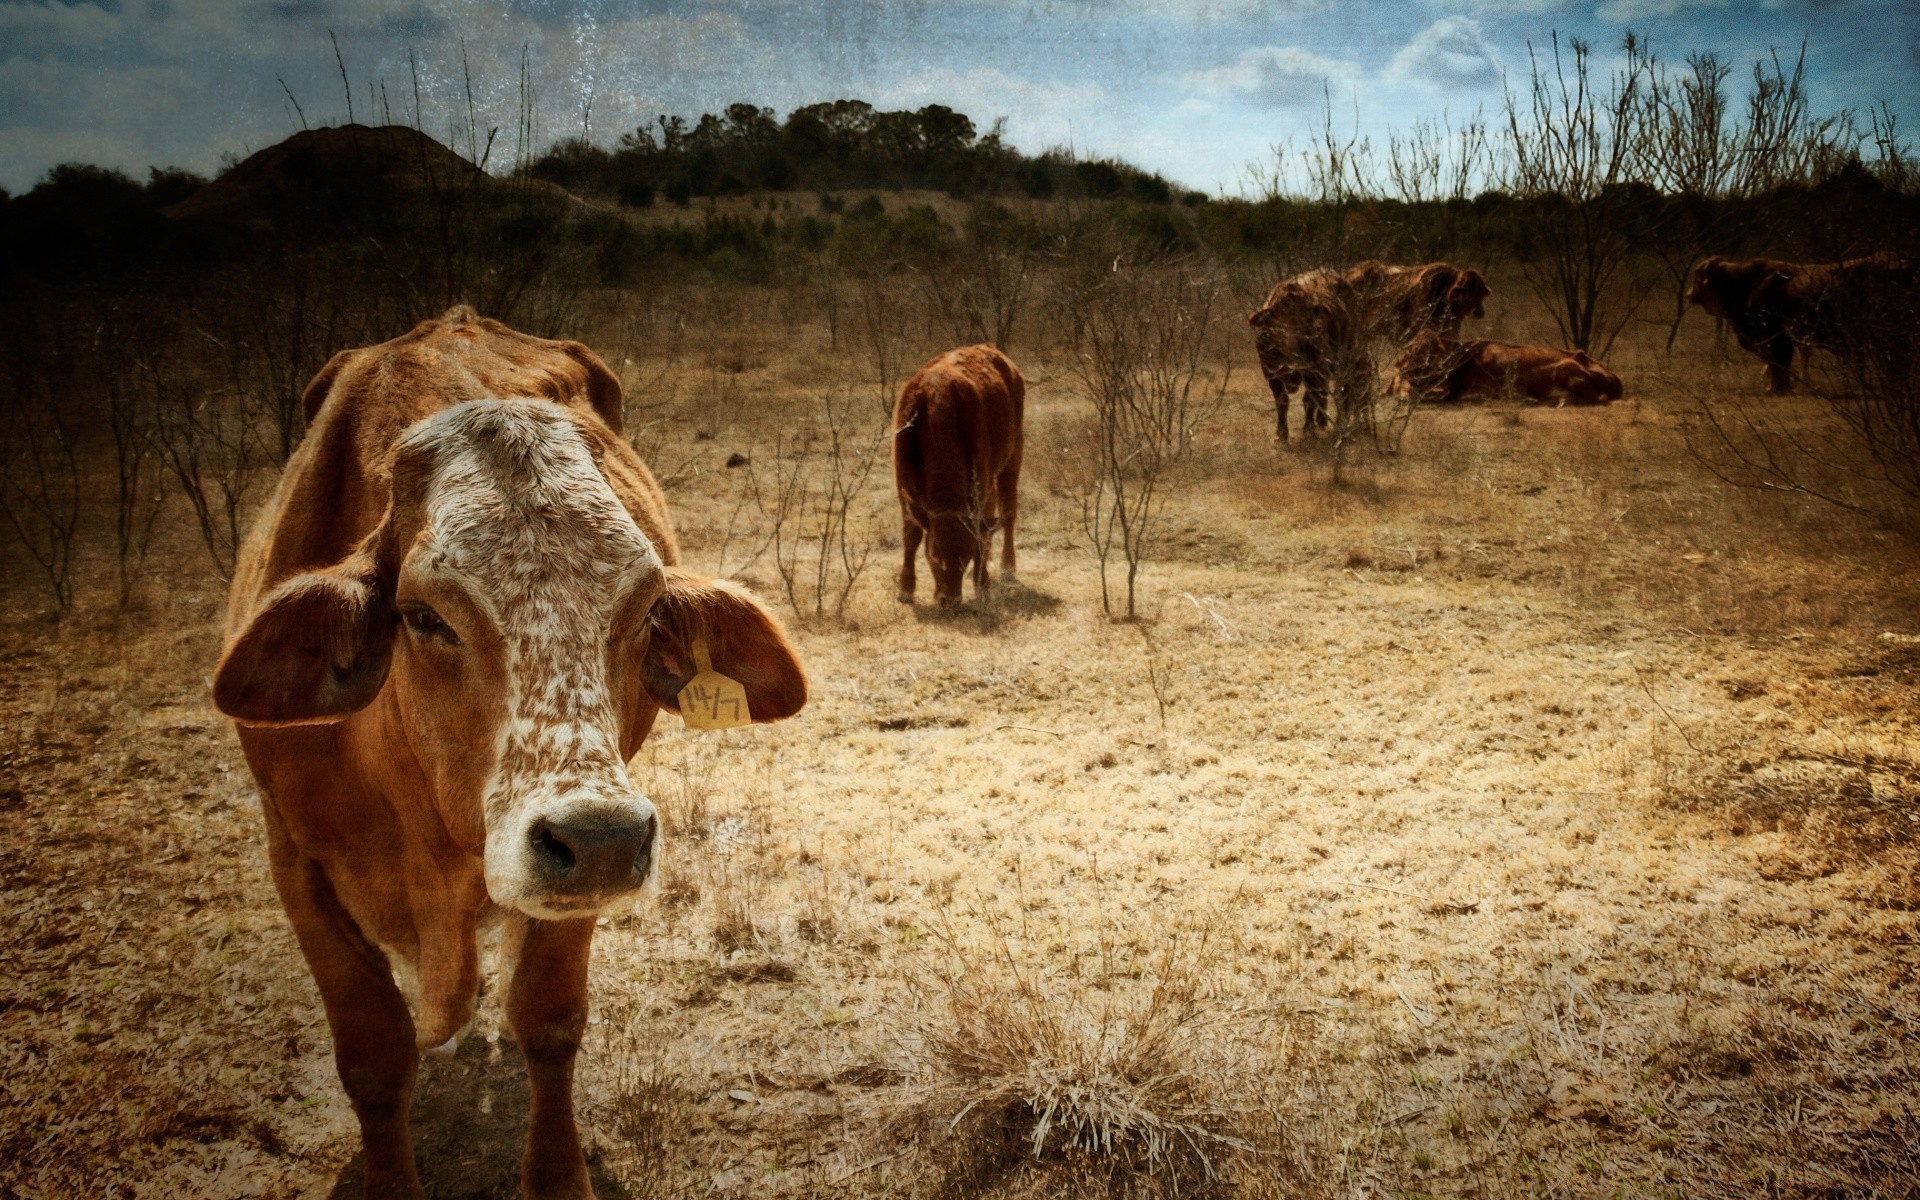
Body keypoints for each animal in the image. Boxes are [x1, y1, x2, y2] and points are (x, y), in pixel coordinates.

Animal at [212, 303, 810, 1190]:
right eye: (424, 617)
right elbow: (374, 1058)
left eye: (645, 610)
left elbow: (549, 1020)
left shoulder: (576, 876)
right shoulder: (295, 859)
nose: (602, 839)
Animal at [890, 345, 1029, 606]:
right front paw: (906, 589)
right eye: (933, 555)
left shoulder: (981, 479)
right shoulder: (903, 484)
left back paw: (1007, 567)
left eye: (966, 557)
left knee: (1008, 509)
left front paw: (982, 585)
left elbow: (981, 532)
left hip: (1013, 454)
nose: (950, 600)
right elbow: (911, 534)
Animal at [1251, 259, 1489, 437]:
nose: (1479, 311)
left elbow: (1310, 399)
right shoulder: (1272, 372)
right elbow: (1285, 400)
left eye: (1477, 290)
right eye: (1277, 327)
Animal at [1397, 332, 1620, 407]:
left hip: (1565, 368)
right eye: (1411, 349)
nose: (1402, 368)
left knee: (1594, 398)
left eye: (1424, 352)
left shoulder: (1474, 391)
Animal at [1689, 249, 1912, 391]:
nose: (1689, 293)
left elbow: (1779, 364)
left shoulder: (1776, 339)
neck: (1747, 283)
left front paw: (1777, 388)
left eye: (1697, 276)